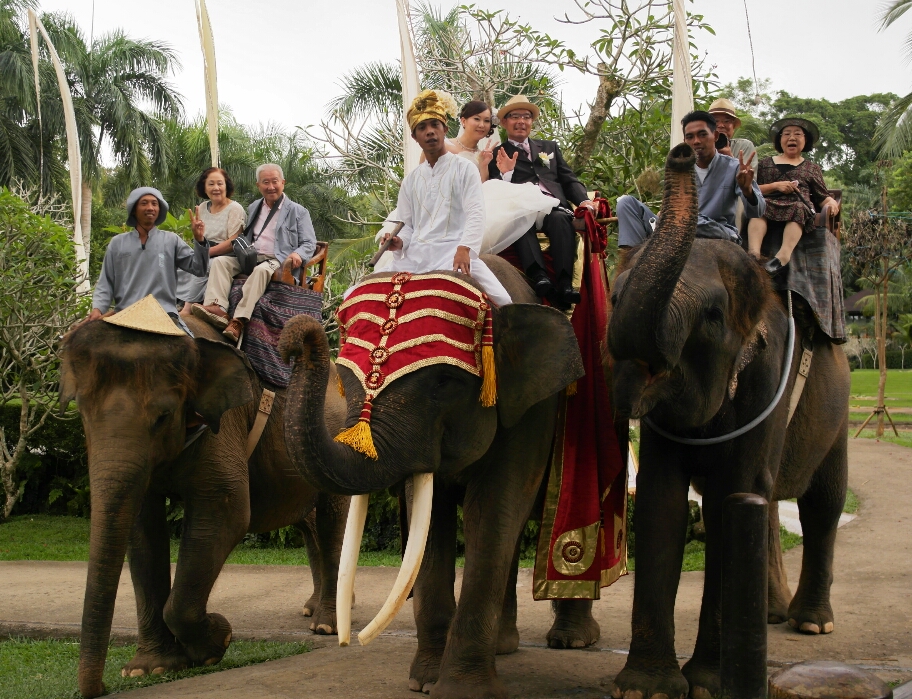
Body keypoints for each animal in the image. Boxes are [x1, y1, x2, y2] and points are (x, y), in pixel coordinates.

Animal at [59, 315, 350, 699]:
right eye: (81, 412)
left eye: (164, 416)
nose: (102, 686)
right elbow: (143, 528)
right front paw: (147, 670)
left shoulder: (222, 425)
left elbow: (227, 510)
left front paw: (218, 640)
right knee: (309, 524)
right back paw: (311, 610)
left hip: (334, 434)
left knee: (331, 522)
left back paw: (324, 626)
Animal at [278, 258, 600, 699]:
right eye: (343, 381)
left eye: (444, 384)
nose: (295, 337)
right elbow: (430, 519)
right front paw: (425, 683)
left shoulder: (532, 412)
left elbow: (493, 511)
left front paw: (461, 691)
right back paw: (505, 647)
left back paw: (572, 640)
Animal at [607, 144, 849, 698]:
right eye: (613, 298)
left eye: (713, 317)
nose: (682, 149)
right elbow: (661, 501)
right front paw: (645, 688)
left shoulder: (768, 376)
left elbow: (729, 497)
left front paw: (709, 684)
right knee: (770, 501)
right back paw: (772, 614)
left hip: (840, 412)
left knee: (822, 502)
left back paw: (811, 623)